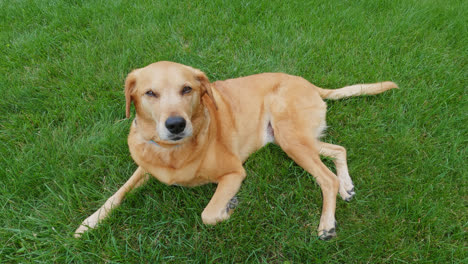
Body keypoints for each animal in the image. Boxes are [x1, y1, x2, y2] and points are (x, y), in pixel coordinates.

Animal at [75, 61, 396, 239]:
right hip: (291, 139)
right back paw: (346, 186)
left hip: (291, 139)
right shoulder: (144, 167)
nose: (176, 125)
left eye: (187, 89)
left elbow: (208, 214)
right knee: (338, 149)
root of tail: (310, 84)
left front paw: (229, 206)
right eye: (149, 93)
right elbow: (118, 193)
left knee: (325, 178)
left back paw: (327, 223)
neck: (172, 152)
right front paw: (89, 223)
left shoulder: (233, 173)